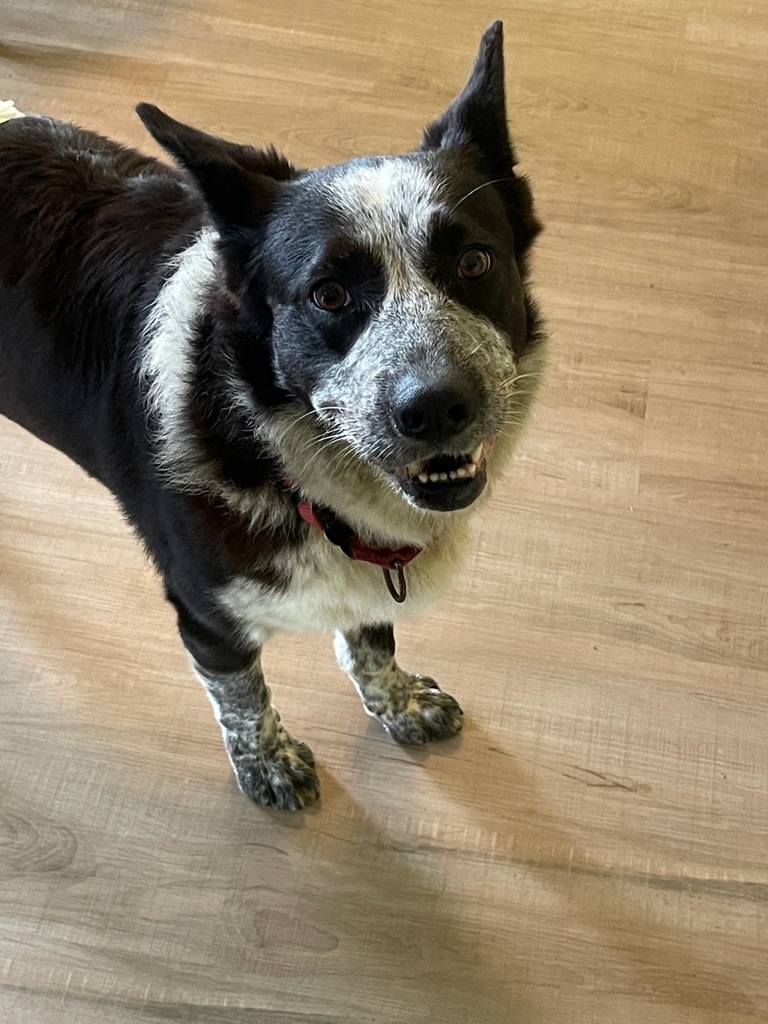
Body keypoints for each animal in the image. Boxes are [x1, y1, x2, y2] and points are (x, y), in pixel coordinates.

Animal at [0, 19, 548, 811]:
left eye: (475, 263)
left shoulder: (370, 557)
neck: (264, 439)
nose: (438, 406)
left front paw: (398, 703)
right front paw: (268, 763)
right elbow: (243, 697)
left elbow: (373, 639)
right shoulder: (206, 617)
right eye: (328, 294)